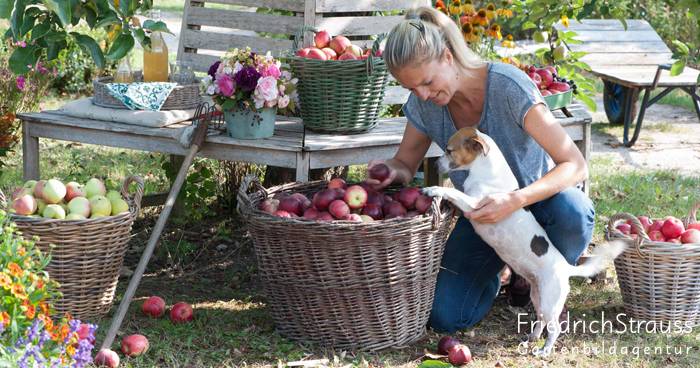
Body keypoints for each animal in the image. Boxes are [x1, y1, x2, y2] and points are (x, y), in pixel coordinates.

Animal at [422, 127, 624, 356]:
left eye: (449, 150)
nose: (435, 165)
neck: (486, 171)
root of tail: (566, 268)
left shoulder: (475, 205)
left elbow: (453, 191)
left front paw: (434, 189)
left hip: (549, 301)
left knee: (554, 327)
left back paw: (545, 349)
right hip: (538, 296)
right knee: (541, 320)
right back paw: (532, 338)